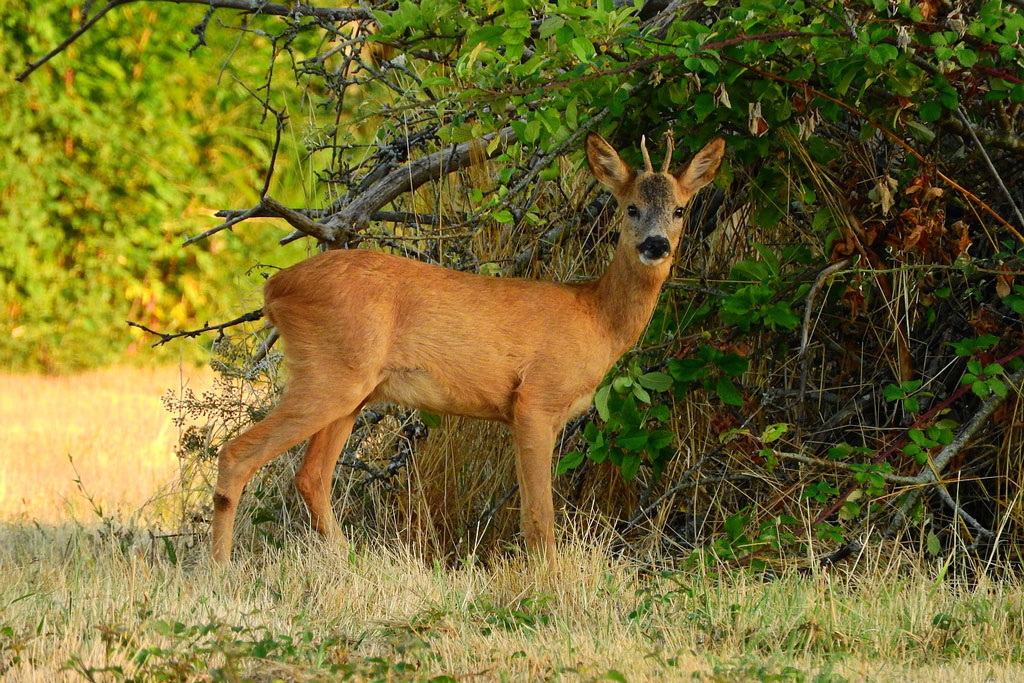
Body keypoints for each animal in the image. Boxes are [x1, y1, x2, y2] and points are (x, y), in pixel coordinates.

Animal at [207, 133, 724, 565]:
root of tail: (275, 289)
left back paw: (353, 565)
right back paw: (220, 573)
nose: (656, 245)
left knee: (311, 476)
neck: (595, 318)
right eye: (631, 207)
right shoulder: (535, 400)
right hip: (329, 374)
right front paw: (551, 588)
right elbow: (540, 519)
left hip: (353, 390)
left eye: (680, 209)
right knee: (236, 454)